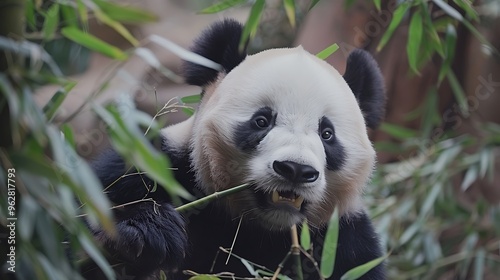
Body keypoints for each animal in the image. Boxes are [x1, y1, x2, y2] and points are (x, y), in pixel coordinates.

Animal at [88, 18, 386, 278]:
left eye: (327, 134)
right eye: (261, 121)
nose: (295, 169)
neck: (263, 228)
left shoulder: (345, 240)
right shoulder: (156, 166)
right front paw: (149, 233)